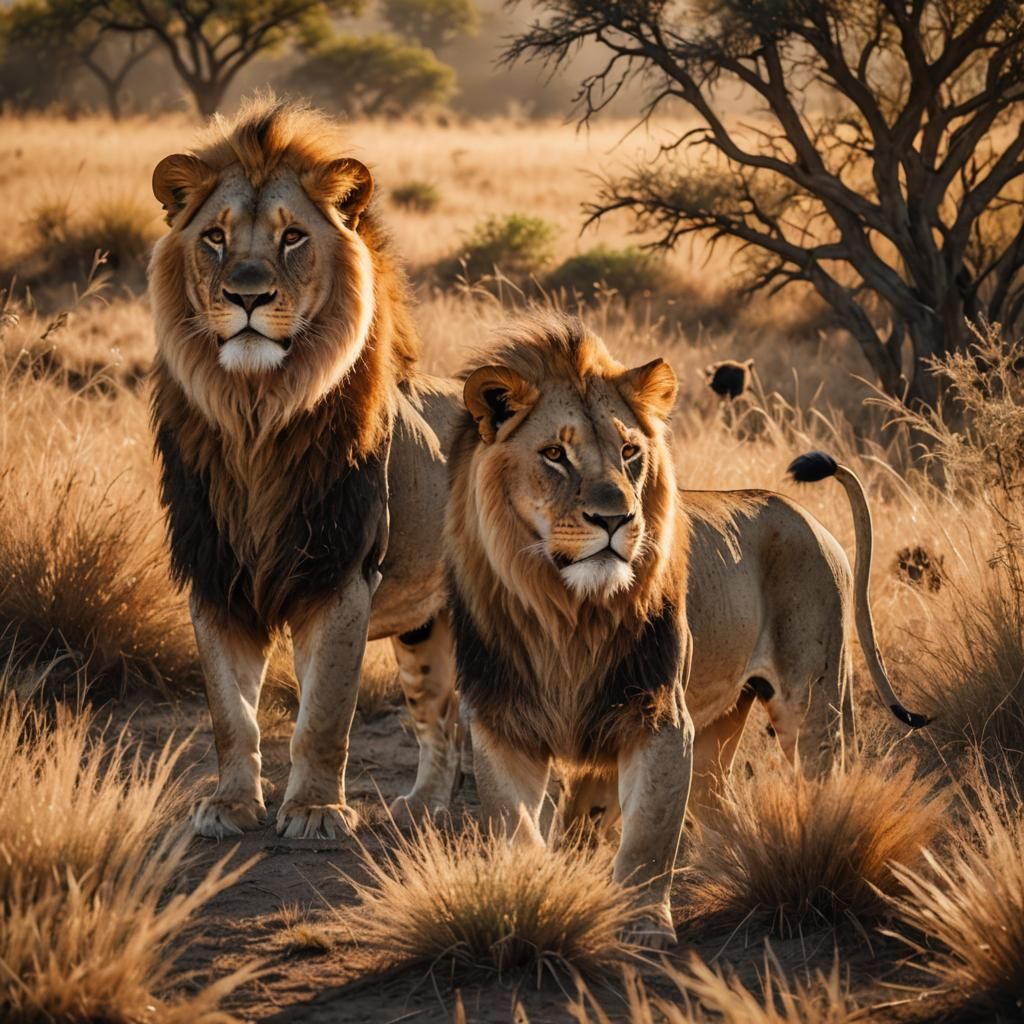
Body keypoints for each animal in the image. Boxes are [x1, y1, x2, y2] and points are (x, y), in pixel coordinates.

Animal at [149, 96, 462, 840]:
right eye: (215, 237)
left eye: (292, 237)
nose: (247, 297)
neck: (256, 416)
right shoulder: (216, 577)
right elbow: (230, 717)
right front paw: (231, 807)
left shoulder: (341, 577)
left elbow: (324, 714)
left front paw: (317, 811)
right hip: (424, 631)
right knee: (441, 722)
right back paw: (423, 807)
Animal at [445, 314, 927, 946]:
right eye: (554, 454)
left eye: (629, 451)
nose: (616, 518)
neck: (567, 615)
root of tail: (805, 514)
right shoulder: (503, 723)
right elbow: (515, 829)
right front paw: (522, 903)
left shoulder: (660, 716)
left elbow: (650, 832)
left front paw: (644, 925)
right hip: (723, 720)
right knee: (719, 801)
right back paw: (735, 866)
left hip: (816, 701)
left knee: (826, 776)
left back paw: (821, 853)